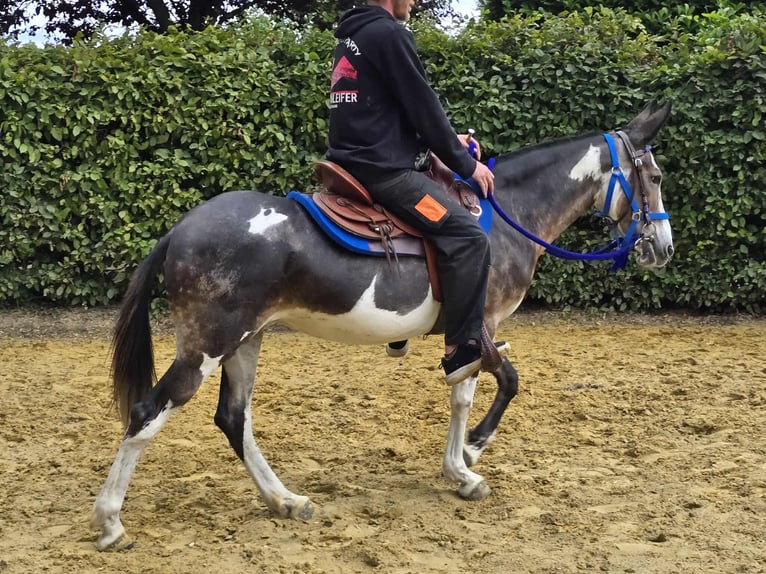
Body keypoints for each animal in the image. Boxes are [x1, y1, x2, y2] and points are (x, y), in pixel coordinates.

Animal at [92, 101, 674, 550]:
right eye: (656, 177)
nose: (664, 249)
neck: (506, 213)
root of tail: (180, 229)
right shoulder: (481, 323)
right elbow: (503, 383)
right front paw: (471, 455)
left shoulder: (467, 333)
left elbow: (463, 392)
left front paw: (458, 467)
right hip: (208, 345)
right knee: (147, 412)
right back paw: (111, 522)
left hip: (245, 342)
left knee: (233, 419)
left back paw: (286, 500)